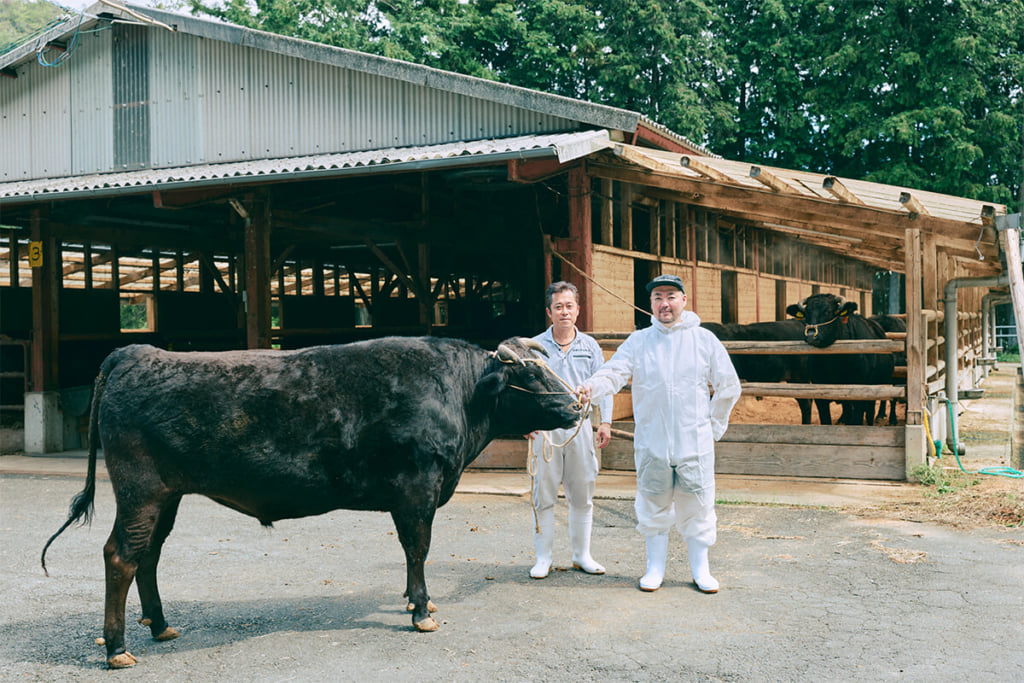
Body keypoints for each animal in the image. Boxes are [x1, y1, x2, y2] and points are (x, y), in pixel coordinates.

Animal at [41, 339, 585, 671]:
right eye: (533, 375)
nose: (578, 403)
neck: (458, 394)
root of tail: (137, 352)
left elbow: (413, 552)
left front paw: (416, 600)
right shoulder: (417, 488)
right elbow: (418, 548)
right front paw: (421, 609)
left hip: (167, 495)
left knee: (148, 555)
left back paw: (160, 626)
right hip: (141, 489)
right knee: (121, 556)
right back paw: (117, 648)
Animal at [786, 294, 892, 423]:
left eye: (828, 311)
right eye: (806, 313)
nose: (811, 336)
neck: (834, 363)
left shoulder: (859, 395)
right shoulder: (820, 396)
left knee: (870, 413)